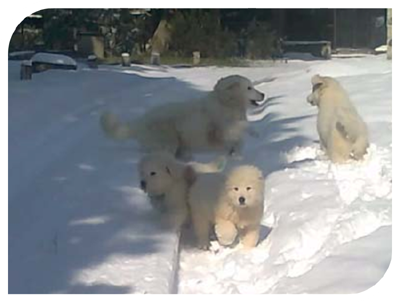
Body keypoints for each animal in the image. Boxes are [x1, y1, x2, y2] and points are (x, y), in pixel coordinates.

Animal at [100, 74, 266, 158]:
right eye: (249, 88)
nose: (263, 94)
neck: (226, 103)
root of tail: (139, 121)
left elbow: (238, 143)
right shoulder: (223, 130)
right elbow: (240, 129)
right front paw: (254, 133)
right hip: (168, 142)